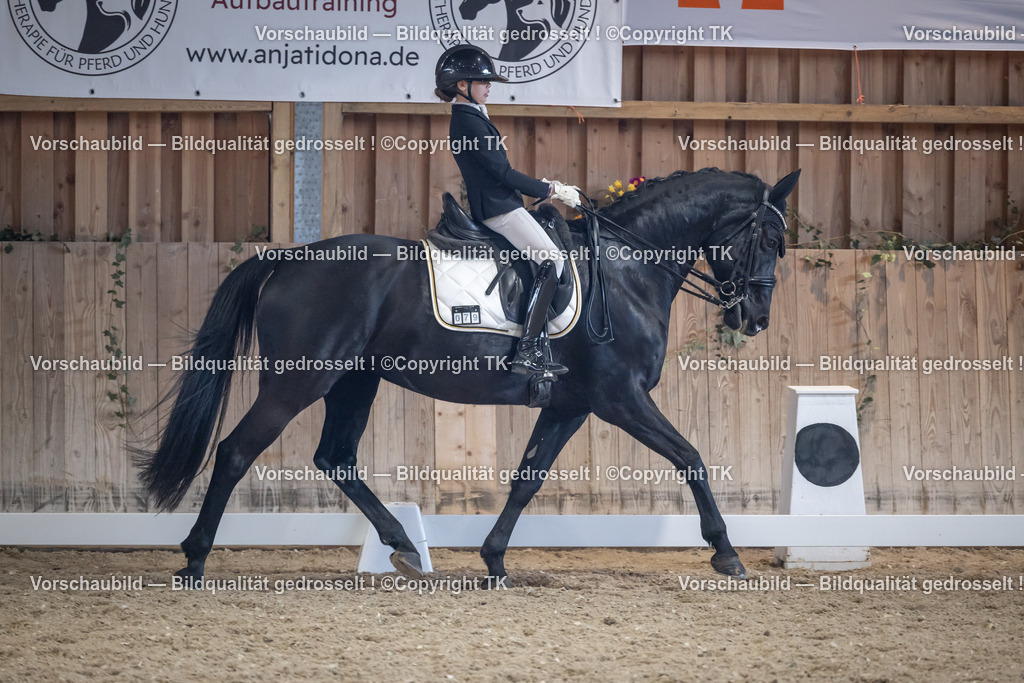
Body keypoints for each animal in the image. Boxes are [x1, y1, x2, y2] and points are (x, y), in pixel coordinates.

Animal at [134, 167, 800, 585]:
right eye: (768, 237)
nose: (756, 317)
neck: (628, 267)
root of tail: (291, 256)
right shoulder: (621, 398)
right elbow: (691, 456)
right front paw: (726, 553)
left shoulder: (570, 404)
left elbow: (528, 478)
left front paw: (494, 558)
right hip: (299, 381)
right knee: (235, 451)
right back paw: (194, 560)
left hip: (355, 381)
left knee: (336, 458)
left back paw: (403, 546)